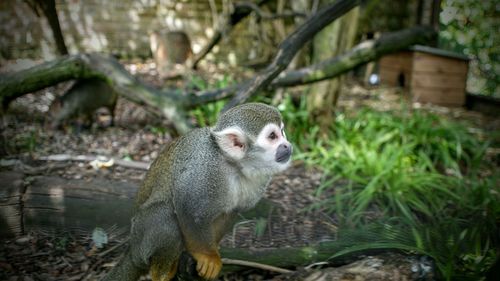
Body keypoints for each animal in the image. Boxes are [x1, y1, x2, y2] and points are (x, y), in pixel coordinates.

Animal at [103, 103, 292, 280]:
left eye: (282, 132)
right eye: (272, 136)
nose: (287, 145)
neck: (233, 165)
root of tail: (132, 251)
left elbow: (230, 212)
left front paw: (213, 250)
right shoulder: (204, 169)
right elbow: (190, 210)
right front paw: (208, 256)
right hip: (142, 239)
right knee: (166, 216)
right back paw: (161, 273)